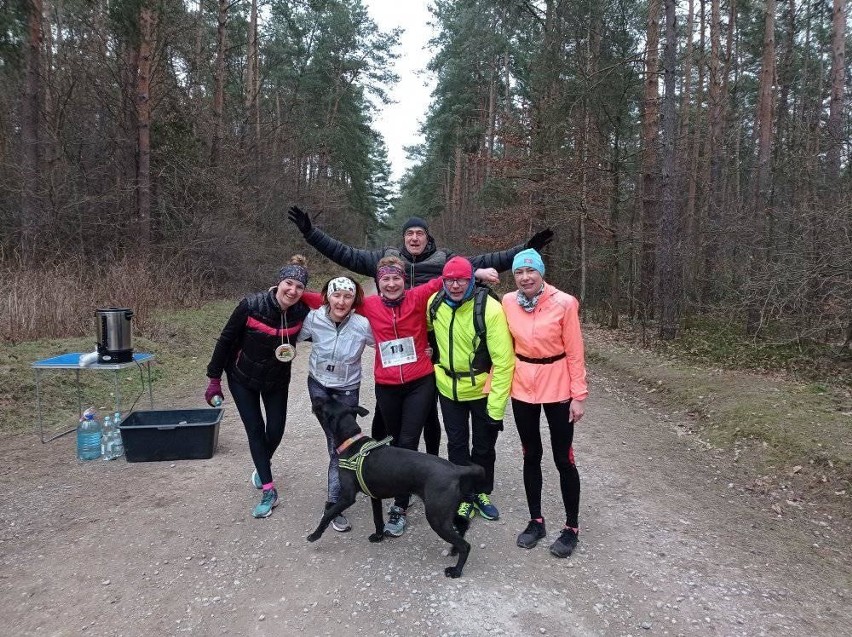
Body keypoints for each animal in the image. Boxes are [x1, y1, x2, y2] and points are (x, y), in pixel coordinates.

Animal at [310, 400, 486, 580]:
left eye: (323, 405)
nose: (316, 400)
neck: (352, 442)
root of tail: (456, 469)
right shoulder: (375, 497)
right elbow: (377, 519)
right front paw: (378, 536)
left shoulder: (347, 497)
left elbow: (329, 513)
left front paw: (315, 535)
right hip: (444, 512)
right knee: (463, 525)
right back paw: (454, 550)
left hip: (437, 517)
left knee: (466, 545)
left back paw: (456, 570)